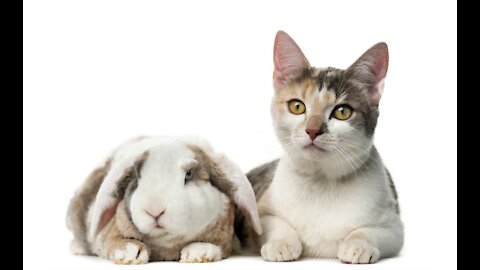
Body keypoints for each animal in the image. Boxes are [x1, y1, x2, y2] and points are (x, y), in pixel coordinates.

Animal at [66, 135, 262, 264]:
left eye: (189, 174)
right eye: (137, 176)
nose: (154, 211)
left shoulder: (225, 238)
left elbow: (216, 246)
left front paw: (198, 253)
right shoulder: (109, 234)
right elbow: (114, 241)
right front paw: (130, 252)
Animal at [236, 31, 404, 264]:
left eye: (342, 112)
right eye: (297, 106)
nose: (313, 130)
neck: (322, 179)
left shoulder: (394, 225)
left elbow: (371, 231)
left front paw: (358, 244)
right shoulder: (260, 213)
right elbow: (273, 222)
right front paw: (282, 243)